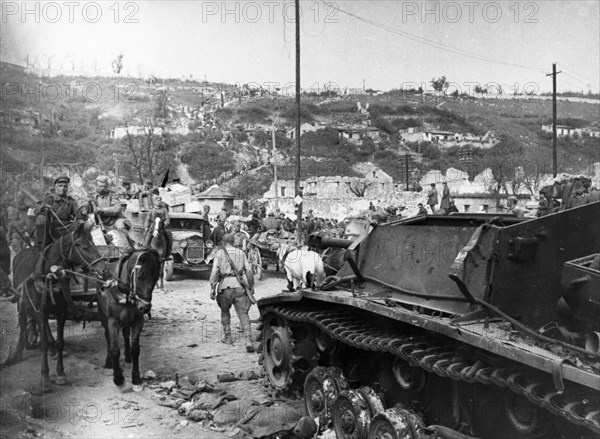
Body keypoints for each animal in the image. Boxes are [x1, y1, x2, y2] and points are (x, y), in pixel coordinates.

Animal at [9, 220, 108, 392]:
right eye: (83, 246)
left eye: (93, 244)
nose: (104, 268)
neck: (49, 275)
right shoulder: (41, 312)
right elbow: (43, 343)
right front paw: (45, 378)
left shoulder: (61, 311)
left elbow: (60, 342)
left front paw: (61, 373)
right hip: (22, 302)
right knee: (23, 321)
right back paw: (18, 351)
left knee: (43, 327)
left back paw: (50, 347)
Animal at [97, 249, 162, 390]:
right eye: (139, 277)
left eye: (156, 278)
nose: (145, 307)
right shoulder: (113, 322)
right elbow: (115, 350)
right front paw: (118, 378)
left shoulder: (138, 321)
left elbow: (135, 350)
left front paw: (136, 378)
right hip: (103, 315)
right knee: (107, 336)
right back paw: (108, 362)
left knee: (126, 334)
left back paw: (127, 357)